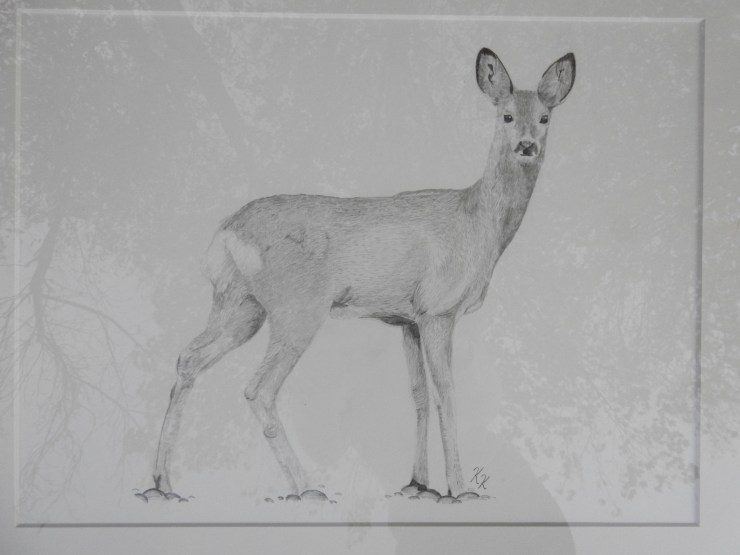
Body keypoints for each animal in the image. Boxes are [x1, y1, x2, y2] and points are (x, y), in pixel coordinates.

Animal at [151, 48, 575, 501]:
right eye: (506, 116)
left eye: (545, 117)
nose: (527, 146)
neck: (479, 224)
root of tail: (226, 234)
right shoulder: (439, 309)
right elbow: (446, 394)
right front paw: (460, 490)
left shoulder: (408, 319)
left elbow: (418, 395)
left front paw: (417, 484)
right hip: (296, 310)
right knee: (258, 389)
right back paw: (307, 487)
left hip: (239, 306)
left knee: (188, 358)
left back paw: (163, 484)